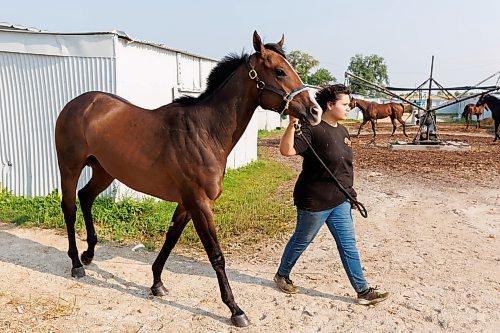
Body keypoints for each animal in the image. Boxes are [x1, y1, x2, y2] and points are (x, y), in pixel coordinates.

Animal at [53, 30, 320, 324]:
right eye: (280, 71)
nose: (315, 112)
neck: (203, 132)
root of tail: (79, 103)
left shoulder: (186, 203)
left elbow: (170, 239)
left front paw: (157, 283)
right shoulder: (199, 203)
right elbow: (216, 255)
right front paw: (235, 309)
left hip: (105, 171)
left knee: (86, 197)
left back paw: (89, 253)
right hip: (70, 167)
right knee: (70, 207)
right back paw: (77, 263)